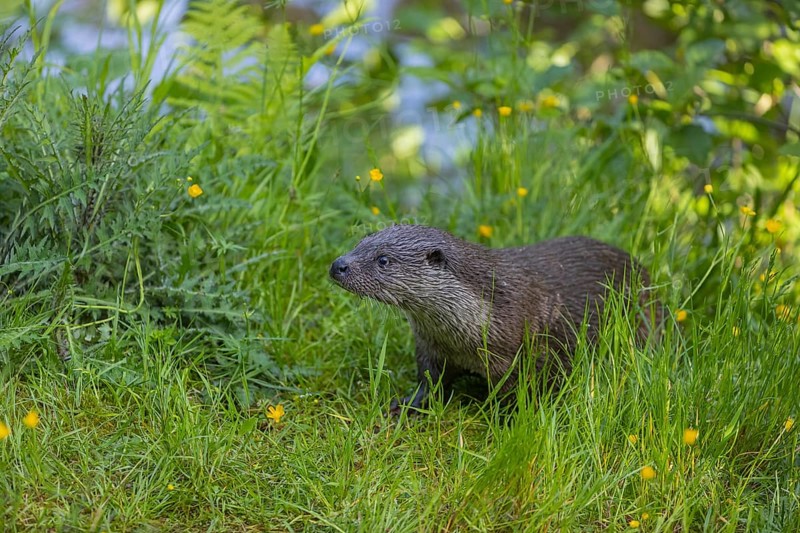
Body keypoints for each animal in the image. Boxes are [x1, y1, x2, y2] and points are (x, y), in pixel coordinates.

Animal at [330, 224, 659, 412]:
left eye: (383, 260)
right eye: (359, 244)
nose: (337, 265)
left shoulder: (518, 357)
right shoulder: (430, 346)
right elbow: (429, 380)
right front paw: (408, 405)